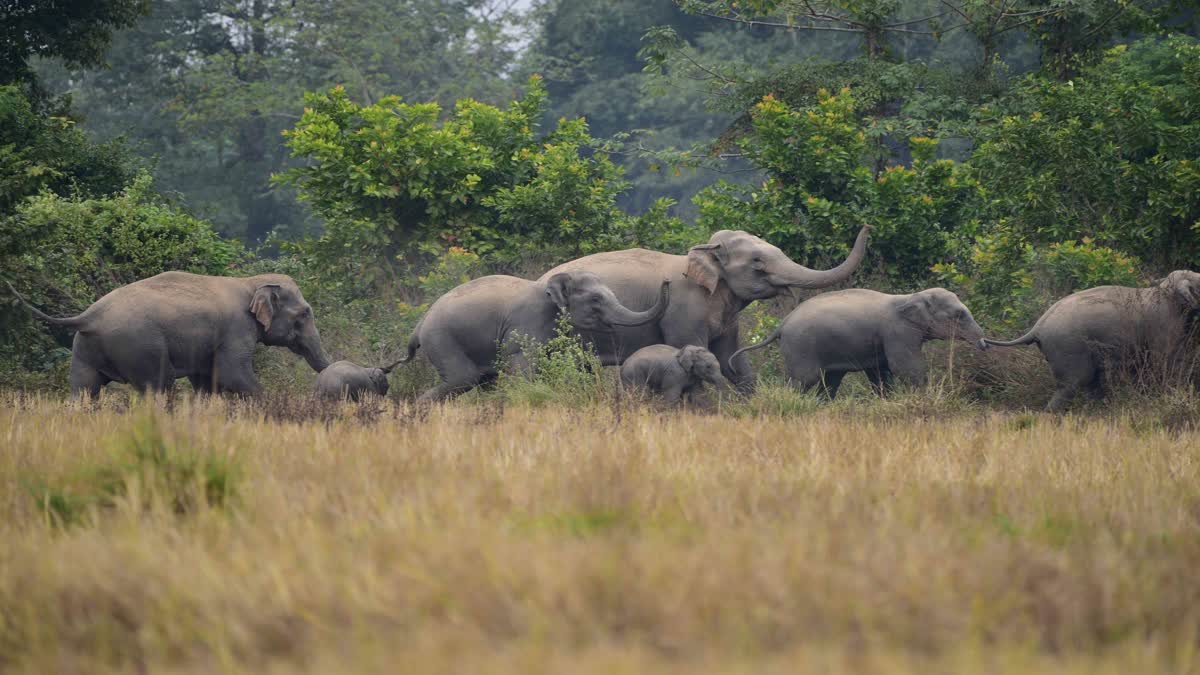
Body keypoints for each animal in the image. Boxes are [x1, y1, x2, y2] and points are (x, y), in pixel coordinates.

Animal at [9, 271, 331, 396]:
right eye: (305, 313)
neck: (250, 281)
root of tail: (88, 316)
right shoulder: (237, 329)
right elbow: (232, 373)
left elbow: (206, 379)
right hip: (140, 347)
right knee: (158, 386)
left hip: (84, 350)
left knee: (83, 390)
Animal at [391, 271, 667, 401]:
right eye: (596, 299)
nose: (667, 282)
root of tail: (419, 325)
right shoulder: (526, 325)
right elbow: (523, 371)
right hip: (442, 340)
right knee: (463, 378)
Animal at [729, 285, 984, 396]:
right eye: (959, 315)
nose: (984, 344)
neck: (912, 296)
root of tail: (782, 324)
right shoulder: (898, 332)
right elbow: (904, 367)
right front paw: (923, 395)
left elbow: (880, 371)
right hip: (800, 346)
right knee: (805, 379)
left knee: (830, 380)